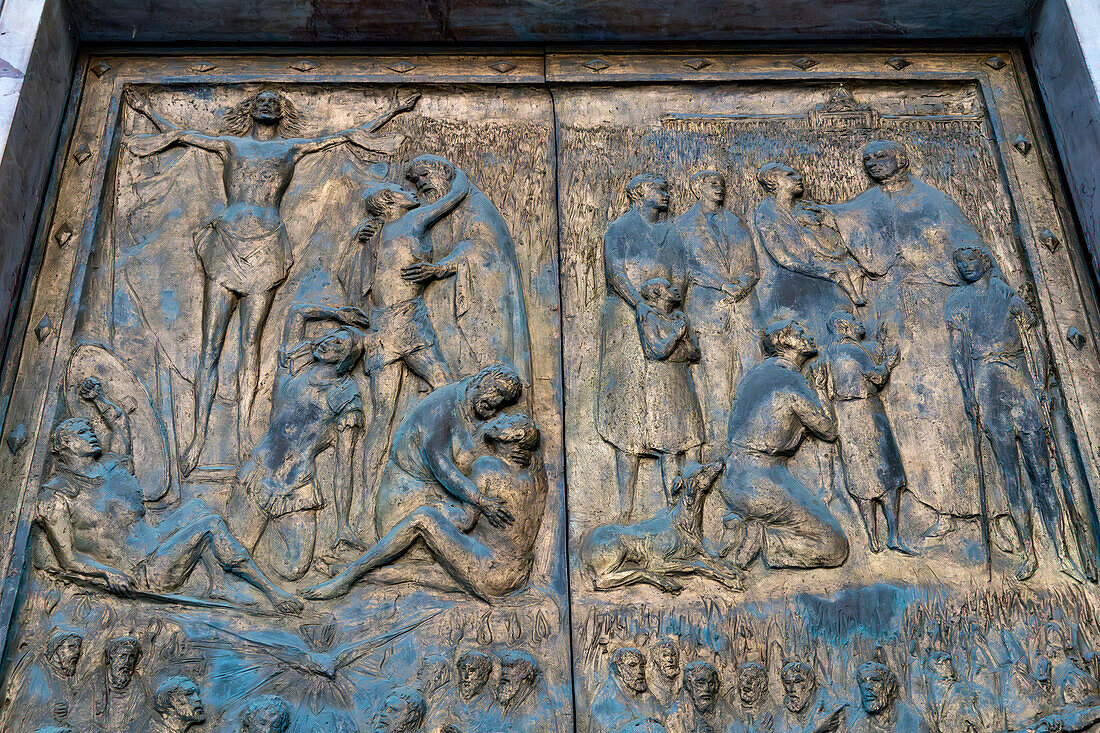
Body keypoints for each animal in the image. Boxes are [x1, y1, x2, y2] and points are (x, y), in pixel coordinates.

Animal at [580, 462, 743, 594]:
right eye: (703, 469)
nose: (720, 460)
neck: (683, 524)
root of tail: (583, 548)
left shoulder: (699, 549)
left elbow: (715, 558)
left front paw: (733, 573)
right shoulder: (657, 560)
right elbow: (697, 564)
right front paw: (730, 580)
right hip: (616, 552)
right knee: (607, 579)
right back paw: (667, 583)